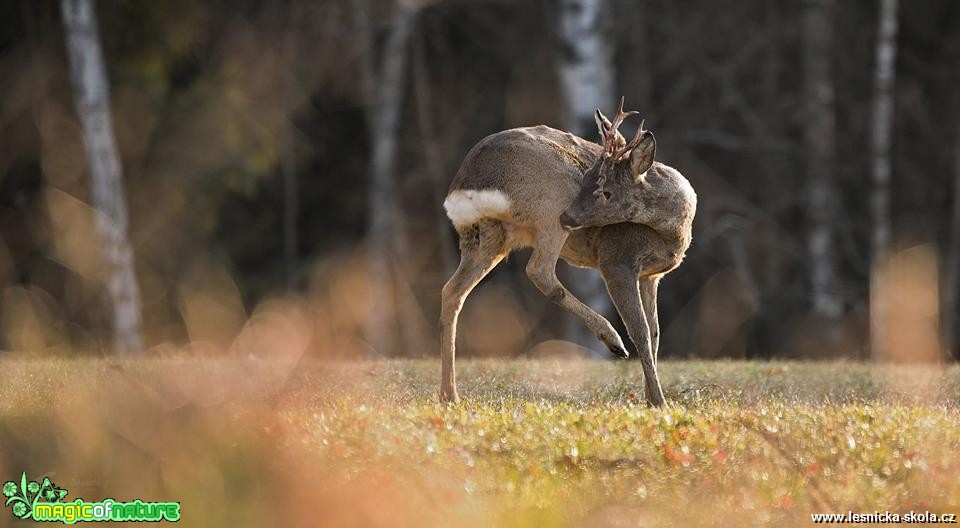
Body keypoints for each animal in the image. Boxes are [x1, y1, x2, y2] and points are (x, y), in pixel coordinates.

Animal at [438, 98, 692, 404]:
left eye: (605, 191)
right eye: (586, 178)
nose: (569, 216)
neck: (673, 230)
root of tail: (465, 183)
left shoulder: (651, 276)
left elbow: (655, 334)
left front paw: (649, 396)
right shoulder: (616, 260)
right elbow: (640, 331)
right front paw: (658, 401)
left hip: (487, 237)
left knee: (452, 291)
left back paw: (449, 394)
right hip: (551, 200)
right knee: (538, 270)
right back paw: (613, 341)